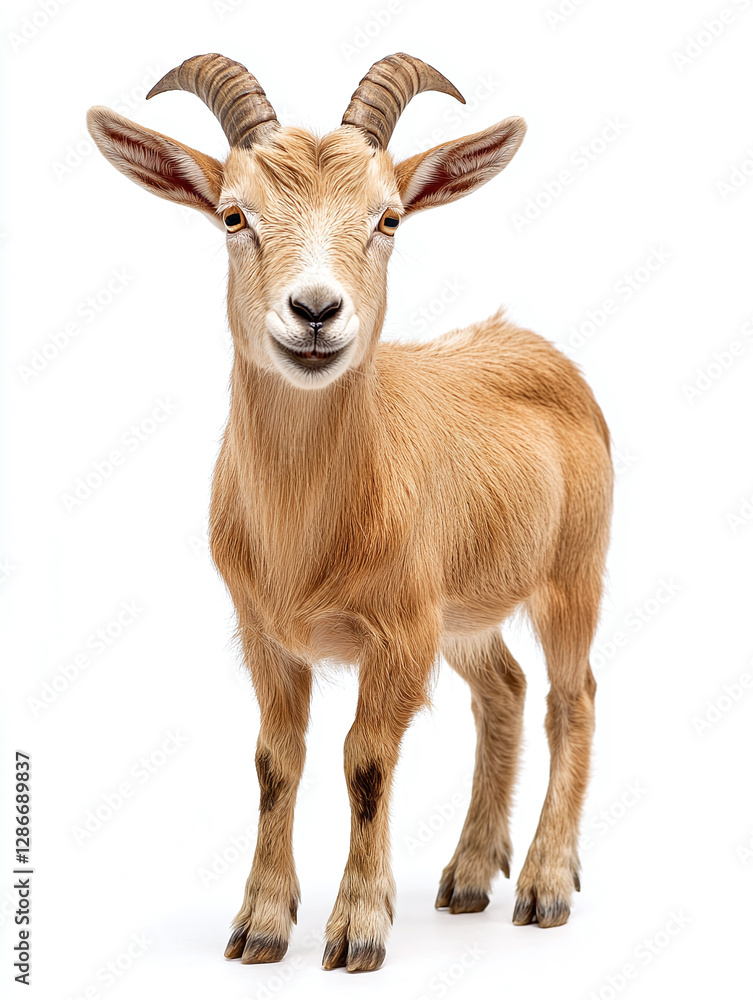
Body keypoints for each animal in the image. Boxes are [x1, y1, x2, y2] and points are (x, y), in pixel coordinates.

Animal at [87, 52, 613, 973]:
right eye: (234, 214)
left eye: (388, 217)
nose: (315, 312)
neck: (308, 529)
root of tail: (542, 352)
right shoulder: (264, 633)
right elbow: (275, 760)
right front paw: (260, 924)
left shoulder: (399, 633)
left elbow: (365, 761)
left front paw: (358, 928)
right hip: (465, 609)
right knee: (504, 689)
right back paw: (469, 874)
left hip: (570, 574)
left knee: (570, 696)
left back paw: (546, 883)